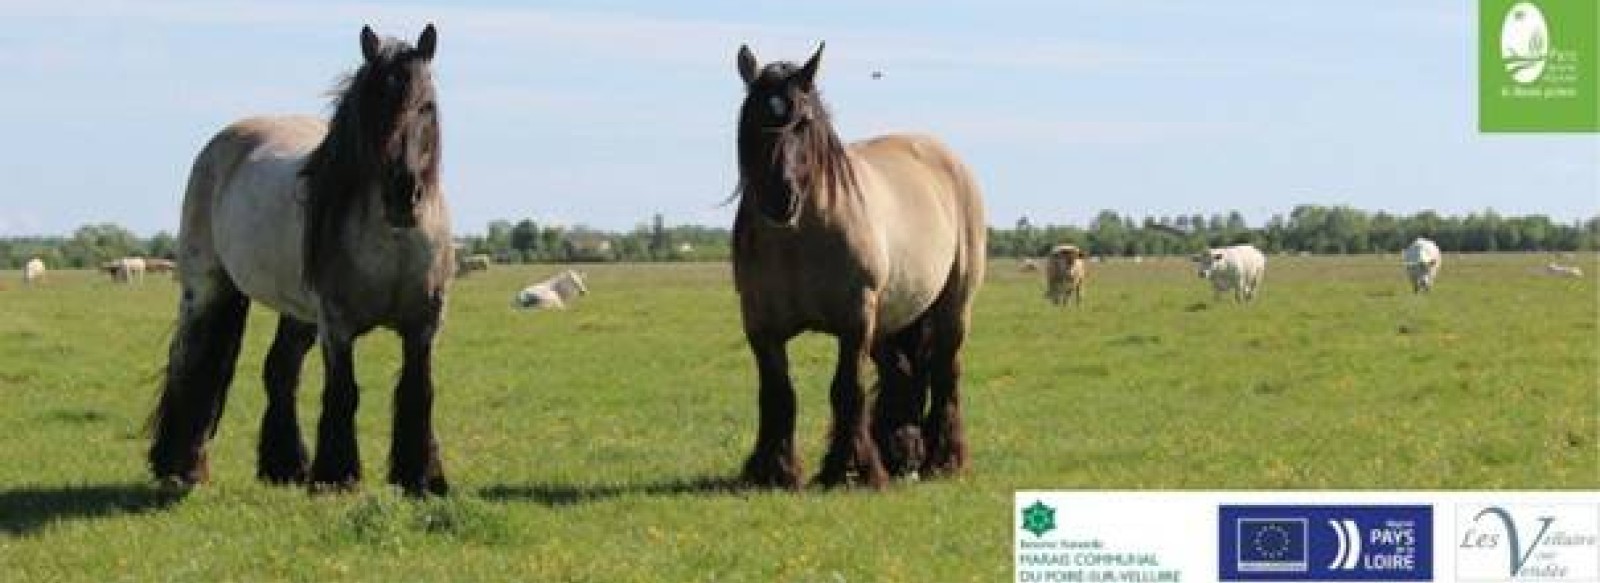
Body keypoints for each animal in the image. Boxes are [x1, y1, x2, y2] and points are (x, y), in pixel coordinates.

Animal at [148, 23, 457, 496]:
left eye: (427, 106)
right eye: (371, 110)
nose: (403, 194)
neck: (395, 245)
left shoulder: (423, 326)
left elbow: (417, 393)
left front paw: (420, 478)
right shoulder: (337, 326)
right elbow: (344, 393)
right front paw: (337, 476)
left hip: (297, 312)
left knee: (280, 369)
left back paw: (285, 467)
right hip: (205, 291)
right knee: (191, 364)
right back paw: (180, 467)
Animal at [729, 44, 979, 486]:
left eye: (804, 122)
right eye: (753, 118)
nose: (780, 197)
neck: (797, 241)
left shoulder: (855, 320)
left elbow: (847, 390)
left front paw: (850, 470)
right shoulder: (760, 325)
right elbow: (778, 395)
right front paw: (774, 472)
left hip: (952, 309)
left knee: (945, 374)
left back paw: (943, 460)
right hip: (891, 320)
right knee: (902, 375)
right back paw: (901, 454)